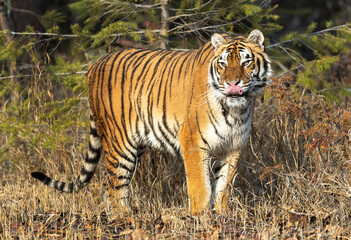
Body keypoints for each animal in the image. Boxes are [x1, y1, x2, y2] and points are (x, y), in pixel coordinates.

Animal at [31, 29, 274, 215]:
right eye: (223, 64)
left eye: (246, 61)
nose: (232, 83)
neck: (236, 110)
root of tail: (95, 65)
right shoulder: (193, 143)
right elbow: (201, 188)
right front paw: (200, 219)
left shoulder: (233, 148)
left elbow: (223, 188)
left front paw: (222, 217)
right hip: (120, 146)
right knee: (116, 190)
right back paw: (125, 219)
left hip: (136, 145)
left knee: (108, 189)